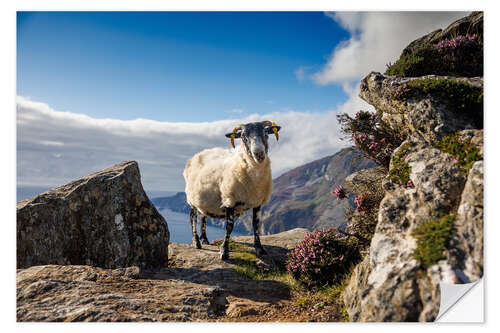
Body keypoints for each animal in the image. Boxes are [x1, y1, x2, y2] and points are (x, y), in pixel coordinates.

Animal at [184, 120, 282, 260]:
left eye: (266, 133)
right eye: (243, 137)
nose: (259, 154)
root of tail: (199, 154)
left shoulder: (257, 203)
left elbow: (256, 225)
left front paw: (259, 248)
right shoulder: (230, 200)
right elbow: (229, 227)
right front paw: (224, 251)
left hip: (203, 199)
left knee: (203, 217)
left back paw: (204, 239)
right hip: (191, 199)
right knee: (193, 218)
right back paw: (196, 242)